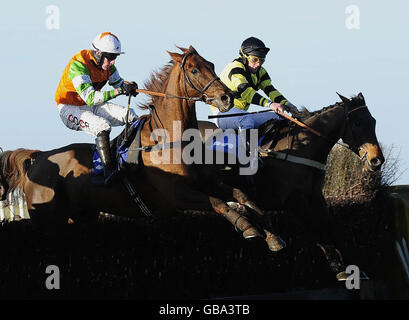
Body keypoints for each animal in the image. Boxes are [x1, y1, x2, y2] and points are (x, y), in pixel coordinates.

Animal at [0, 47, 286, 252]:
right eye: (194, 70)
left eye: (212, 65)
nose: (227, 97)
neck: (171, 139)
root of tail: (39, 158)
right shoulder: (177, 194)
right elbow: (219, 204)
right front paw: (247, 227)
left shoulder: (207, 182)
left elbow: (241, 196)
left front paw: (271, 232)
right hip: (49, 220)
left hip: (81, 216)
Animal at [198, 92, 382, 278]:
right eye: (357, 123)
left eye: (373, 121)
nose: (376, 160)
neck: (303, 148)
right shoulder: (293, 202)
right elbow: (315, 230)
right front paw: (337, 266)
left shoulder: (316, 198)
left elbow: (332, 229)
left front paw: (354, 269)